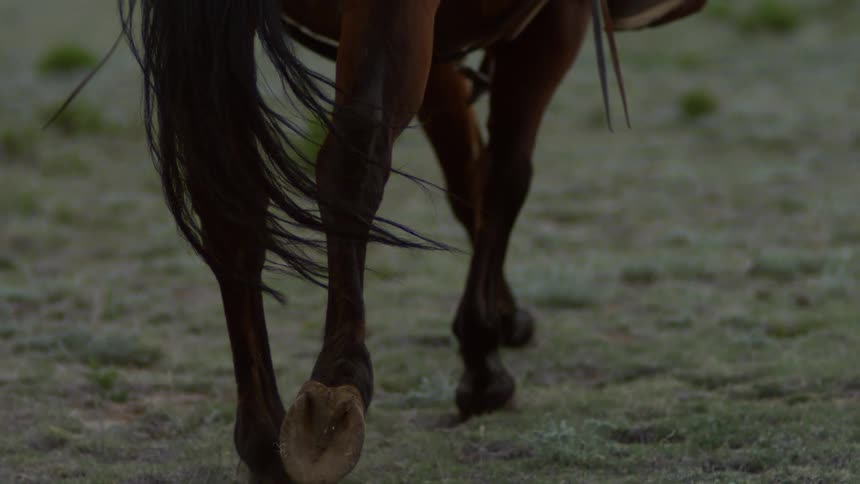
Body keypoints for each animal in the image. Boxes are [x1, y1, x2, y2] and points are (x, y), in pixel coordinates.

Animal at [117, 0, 701, 482]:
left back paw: (263, 436)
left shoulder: (444, 49)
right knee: (353, 160)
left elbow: (468, 177)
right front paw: (483, 357)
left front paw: (501, 319)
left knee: (229, 201)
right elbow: (506, 174)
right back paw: (336, 388)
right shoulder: (554, 22)